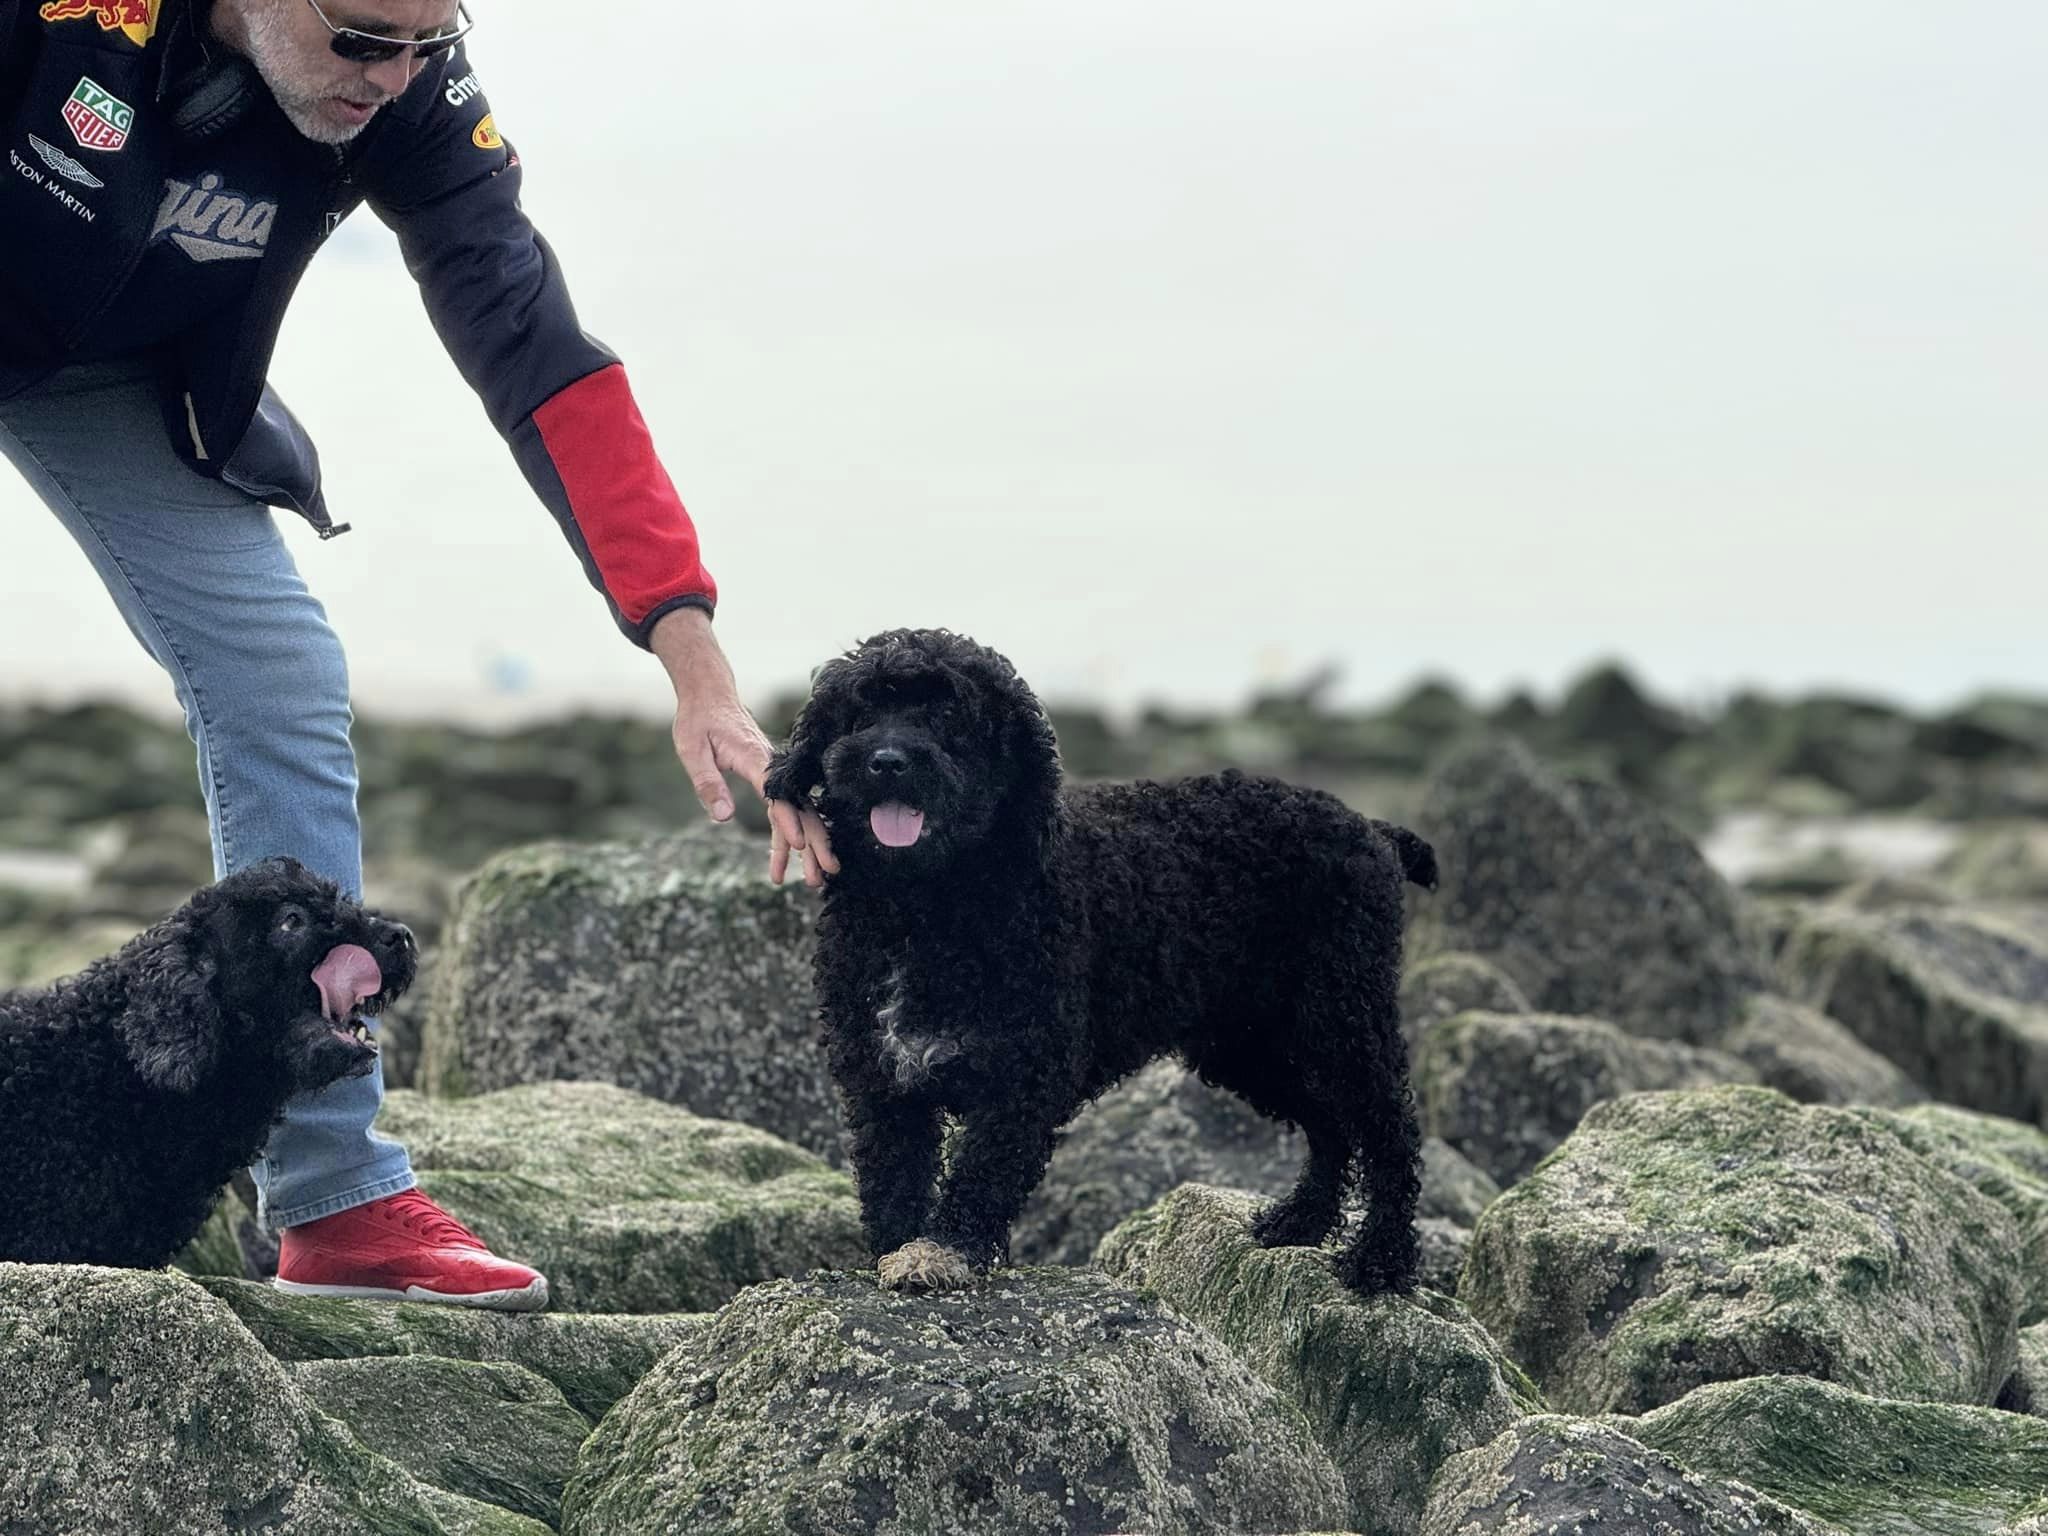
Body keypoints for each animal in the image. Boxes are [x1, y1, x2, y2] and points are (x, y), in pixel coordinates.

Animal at [770, 626, 1441, 1302]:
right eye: (861, 710)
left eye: (950, 713)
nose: (887, 761)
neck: (926, 905)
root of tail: (1371, 828)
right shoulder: (882, 1076)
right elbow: (893, 1176)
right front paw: (896, 1250)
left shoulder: (1027, 1072)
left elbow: (982, 1171)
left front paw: (943, 1250)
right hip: (1255, 1042)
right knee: (1329, 1125)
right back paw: (1300, 1220)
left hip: (1343, 1014)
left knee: (1389, 1131)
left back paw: (1380, 1258)